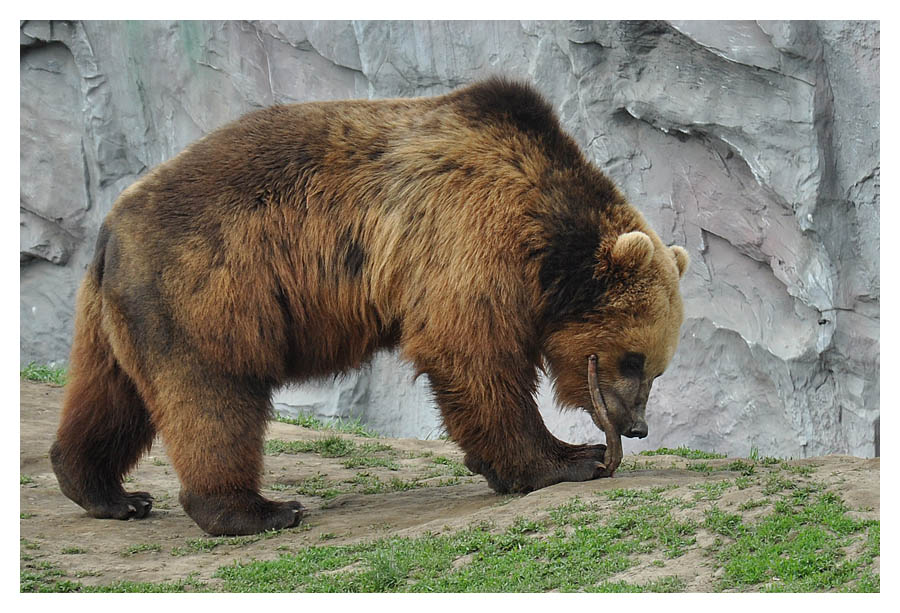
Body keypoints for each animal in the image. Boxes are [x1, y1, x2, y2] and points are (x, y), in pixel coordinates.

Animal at [49, 78, 689, 536]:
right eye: (633, 359)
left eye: (658, 369)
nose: (634, 426)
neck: (546, 240)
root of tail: (111, 227)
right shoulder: (466, 235)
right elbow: (473, 357)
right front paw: (570, 457)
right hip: (203, 289)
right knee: (213, 396)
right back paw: (258, 509)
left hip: (118, 312)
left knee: (112, 394)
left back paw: (108, 491)